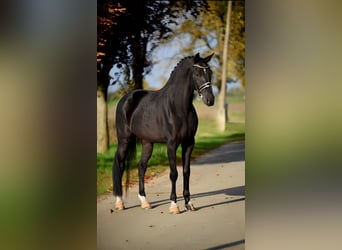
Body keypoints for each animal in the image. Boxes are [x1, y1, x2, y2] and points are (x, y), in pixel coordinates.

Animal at [113, 52, 214, 213]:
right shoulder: (171, 144)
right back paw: (119, 203)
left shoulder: (189, 143)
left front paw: (189, 203)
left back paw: (145, 202)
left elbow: (186, 171)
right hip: (124, 140)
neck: (179, 107)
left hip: (147, 143)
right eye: (197, 73)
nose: (210, 100)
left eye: (209, 72)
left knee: (141, 167)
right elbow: (174, 173)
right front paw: (174, 205)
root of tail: (125, 99)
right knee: (120, 165)